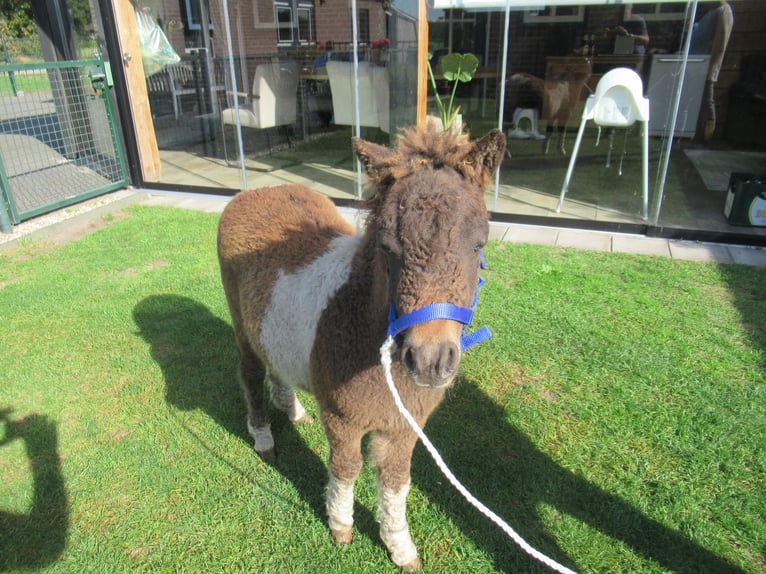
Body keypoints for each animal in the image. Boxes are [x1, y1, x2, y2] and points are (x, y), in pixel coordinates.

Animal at [217, 125, 506, 571]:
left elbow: (396, 480)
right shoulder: (343, 418)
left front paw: (400, 545)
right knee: (250, 375)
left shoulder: (404, 425)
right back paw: (263, 436)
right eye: (387, 247)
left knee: (277, 365)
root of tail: (258, 191)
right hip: (242, 328)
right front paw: (340, 526)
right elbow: (347, 468)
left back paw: (293, 410)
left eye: (478, 246)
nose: (429, 361)